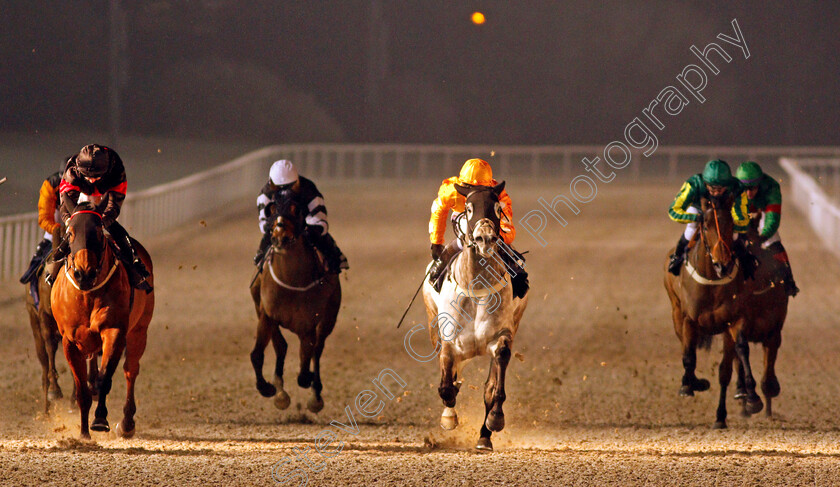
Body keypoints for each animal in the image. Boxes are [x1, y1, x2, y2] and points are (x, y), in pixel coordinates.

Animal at [50, 204, 155, 440]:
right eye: (70, 233)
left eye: (98, 232)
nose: (84, 273)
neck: (87, 294)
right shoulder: (70, 340)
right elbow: (82, 388)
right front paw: (83, 433)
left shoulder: (114, 332)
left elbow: (105, 378)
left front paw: (99, 420)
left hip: (139, 330)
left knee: (130, 370)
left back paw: (127, 424)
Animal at [249, 193, 342, 414]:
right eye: (272, 209)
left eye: (296, 210)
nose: (279, 236)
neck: (291, 281)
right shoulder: (267, 315)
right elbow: (258, 354)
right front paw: (267, 388)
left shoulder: (307, 326)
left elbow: (305, 365)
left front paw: (311, 385)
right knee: (281, 346)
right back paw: (281, 392)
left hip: (329, 318)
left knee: (318, 349)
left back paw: (315, 394)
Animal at [424, 181, 528, 452]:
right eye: (469, 208)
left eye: (498, 208)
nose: (485, 238)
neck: (477, 287)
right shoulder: (449, 340)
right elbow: (446, 385)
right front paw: (449, 416)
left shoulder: (502, 335)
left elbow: (492, 387)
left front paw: (494, 420)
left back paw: (484, 436)